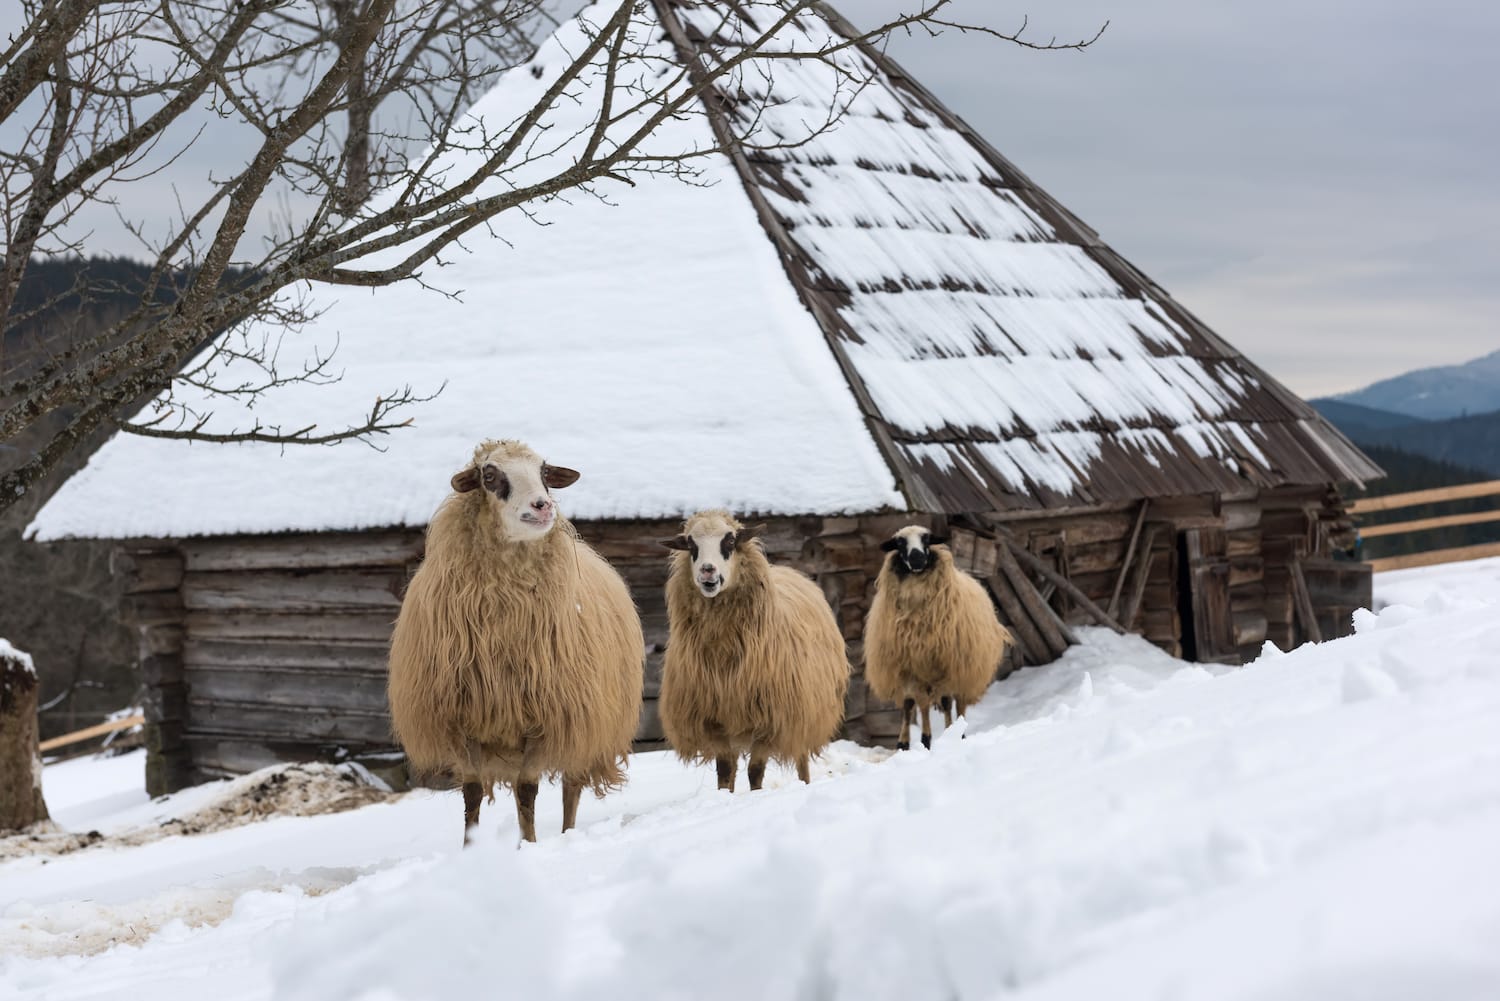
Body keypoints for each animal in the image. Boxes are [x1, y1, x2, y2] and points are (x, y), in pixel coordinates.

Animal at [384, 441, 642, 840]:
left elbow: (527, 790)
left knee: (572, 787)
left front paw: (529, 845)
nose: (543, 506)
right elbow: (472, 792)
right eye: (489, 475)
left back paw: (566, 835)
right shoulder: (463, 718)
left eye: (545, 472)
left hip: (585, 725)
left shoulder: (546, 717)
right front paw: (470, 847)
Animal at [660, 513, 852, 792]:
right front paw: (724, 796)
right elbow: (725, 770)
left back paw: (804, 784)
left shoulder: (773, 720)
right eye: (691, 544)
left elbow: (755, 771)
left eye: (730, 541)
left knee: (801, 757)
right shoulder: (714, 720)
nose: (707, 570)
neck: (723, 654)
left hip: (805, 712)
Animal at [864, 525, 1014, 750]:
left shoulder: (946, 665)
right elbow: (913, 704)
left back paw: (958, 732)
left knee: (957, 703)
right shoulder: (908, 667)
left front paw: (941, 736)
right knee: (920, 704)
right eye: (900, 543)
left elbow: (944, 702)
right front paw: (913, 742)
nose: (917, 558)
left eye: (927, 539)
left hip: (964, 671)